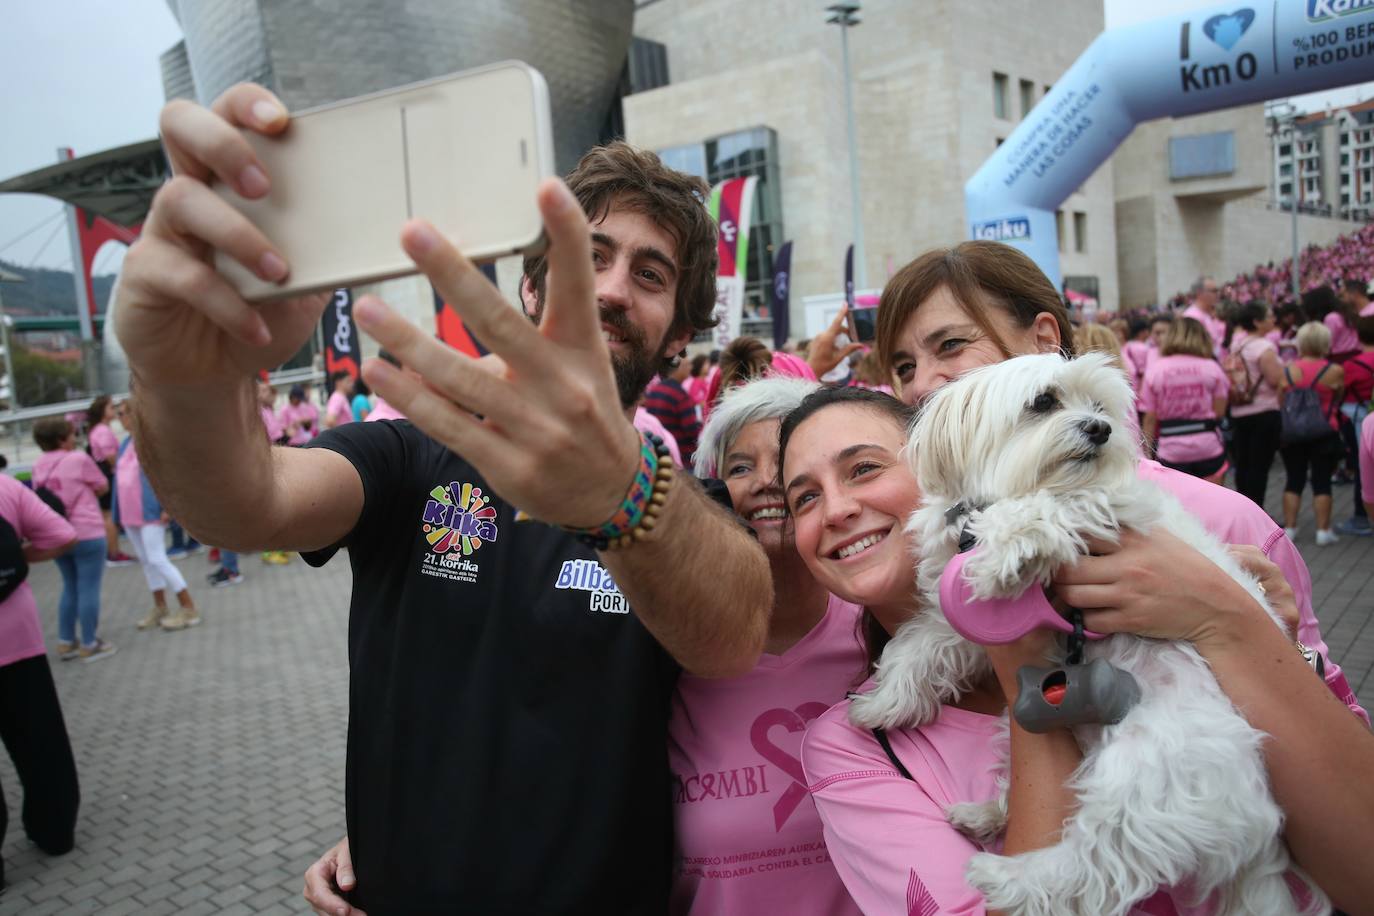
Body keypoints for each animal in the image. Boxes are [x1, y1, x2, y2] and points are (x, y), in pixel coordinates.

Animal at [851, 354, 1324, 916]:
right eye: (1043, 401)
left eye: (1099, 407)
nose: (1100, 429)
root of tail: (1257, 834)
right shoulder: (959, 622)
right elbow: (919, 645)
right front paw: (880, 704)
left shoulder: (1104, 509)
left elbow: (1049, 507)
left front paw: (1004, 547)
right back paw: (984, 814)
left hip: (1149, 772)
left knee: (1097, 864)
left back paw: (1009, 878)